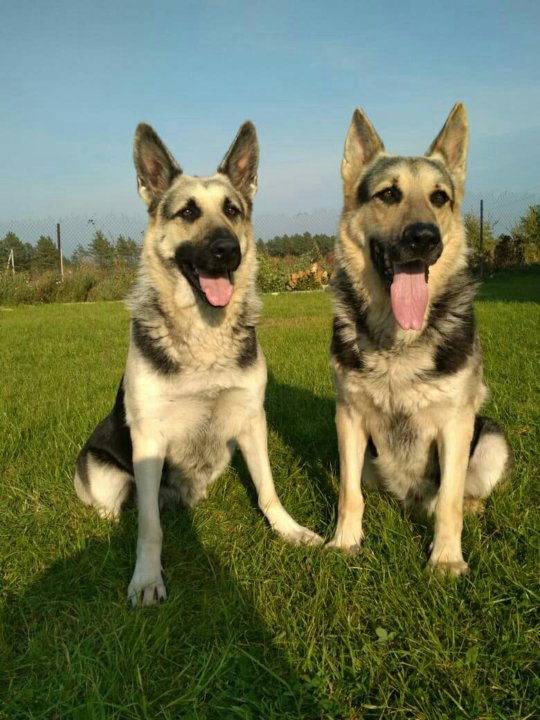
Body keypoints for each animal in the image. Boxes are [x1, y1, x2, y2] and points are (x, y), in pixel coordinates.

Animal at [74, 121, 322, 604]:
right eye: (187, 212)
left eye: (232, 210)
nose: (227, 250)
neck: (204, 334)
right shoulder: (148, 438)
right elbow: (149, 527)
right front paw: (146, 577)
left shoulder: (252, 420)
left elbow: (267, 490)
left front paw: (287, 529)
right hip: (100, 468)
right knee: (116, 504)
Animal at [330, 102, 510, 572]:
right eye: (389, 194)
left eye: (439, 198)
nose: (424, 238)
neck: (400, 341)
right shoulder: (348, 420)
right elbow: (348, 493)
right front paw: (344, 541)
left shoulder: (455, 425)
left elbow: (449, 500)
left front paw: (445, 559)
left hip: (491, 441)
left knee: (458, 493)